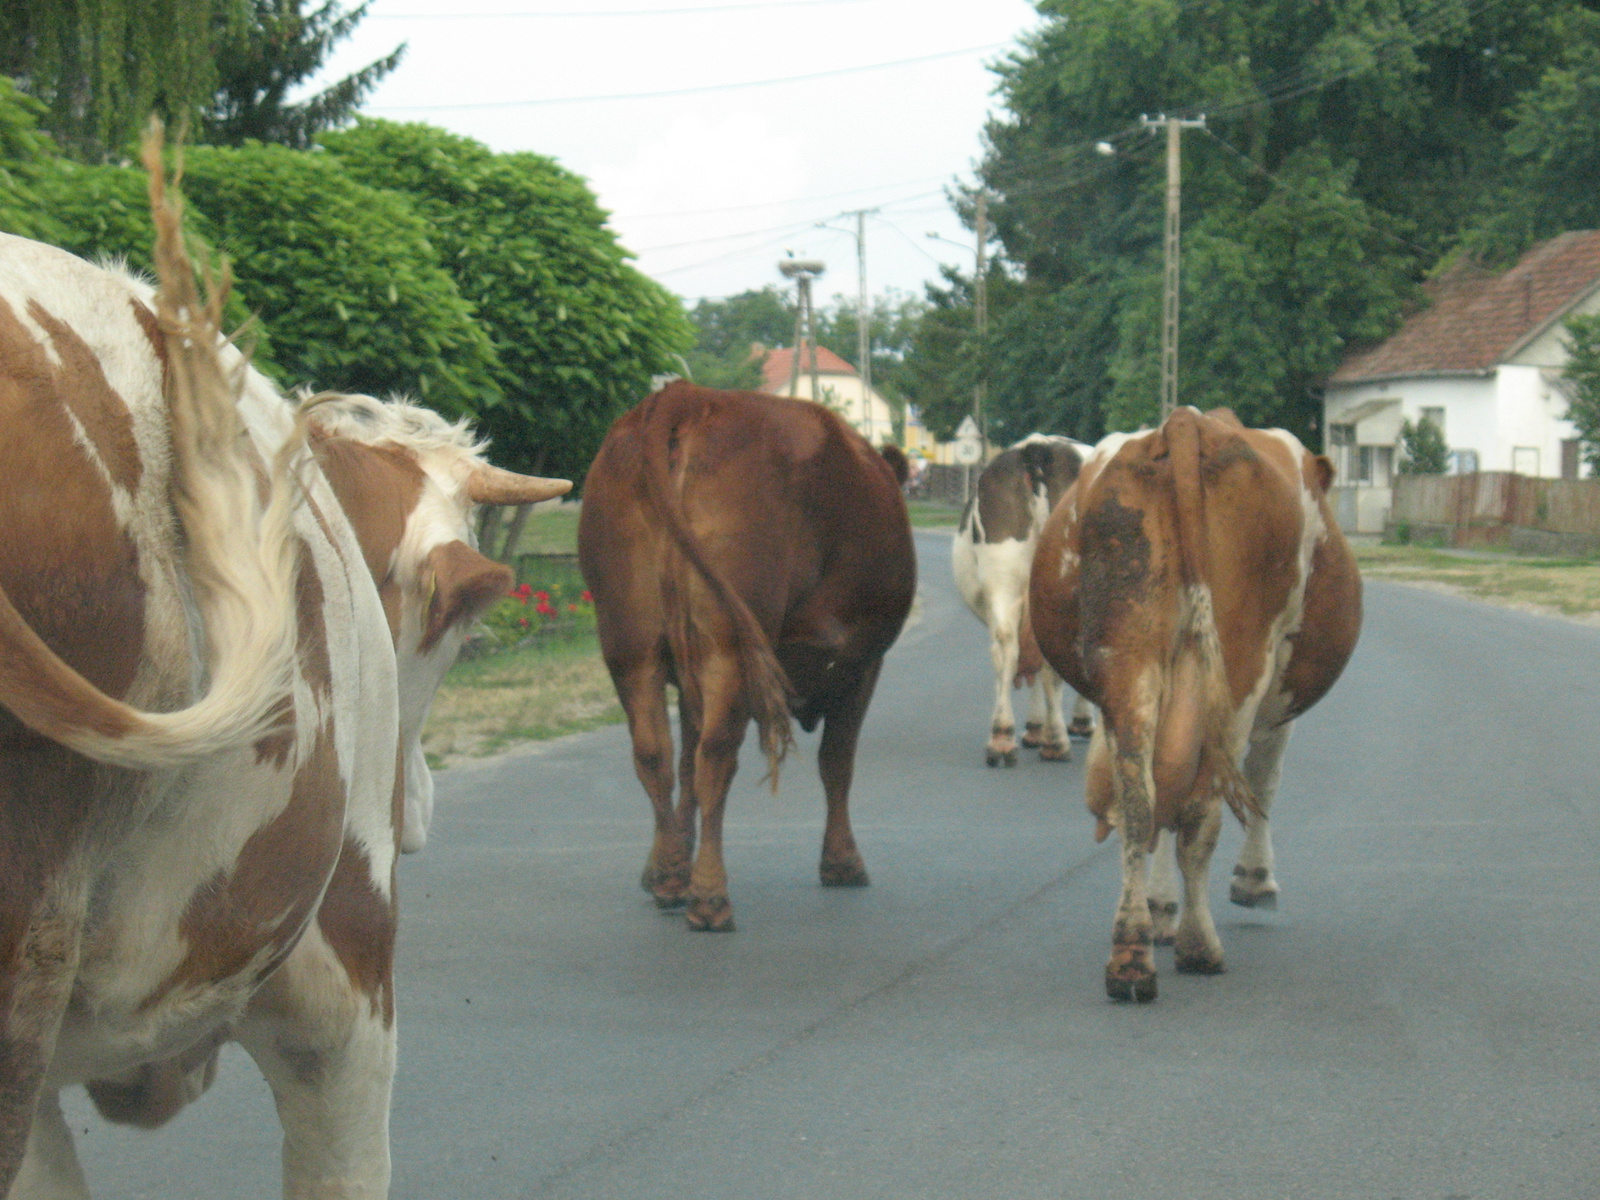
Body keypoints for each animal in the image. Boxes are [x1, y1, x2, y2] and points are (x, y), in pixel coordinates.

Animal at [582, 380, 921, 934]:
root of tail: (688, 395)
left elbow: (683, 768)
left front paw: (664, 865)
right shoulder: (862, 664)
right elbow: (838, 762)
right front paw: (843, 863)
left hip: (630, 643)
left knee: (657, 755)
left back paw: (672, 879)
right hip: (730, 649)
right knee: (717, 758)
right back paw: (710, 900)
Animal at [953, 438, 1094, 764]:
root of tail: (1039, 448)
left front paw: (1035, 727)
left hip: (1003, 573)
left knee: (1007, 648)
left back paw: (1003, 737)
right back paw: (1055, 740)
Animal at [1030, 409, 1356, 998]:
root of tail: (1186, 424)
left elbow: (1162, 804)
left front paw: (1159, 908)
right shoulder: (1277, 704)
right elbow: (1262, 785)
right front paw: (1253, 882)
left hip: (1128, 657)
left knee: (1140, 798)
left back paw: (1131, 955)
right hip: (1239, 668)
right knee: (1203, 811)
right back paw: (1199, 946)